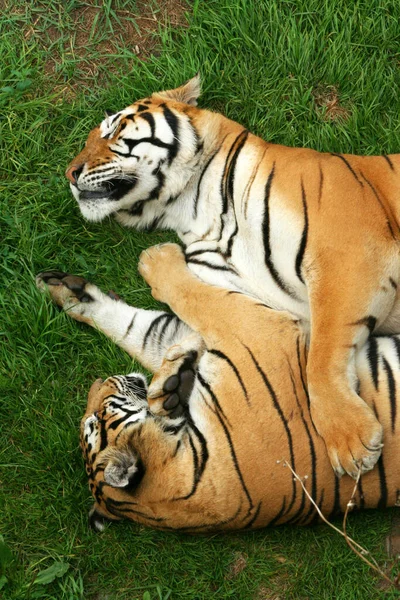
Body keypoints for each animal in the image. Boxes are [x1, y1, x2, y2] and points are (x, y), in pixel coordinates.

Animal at [36, 245, 400, 536]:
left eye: (93, 419)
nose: (98, 383)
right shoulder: (258, 334)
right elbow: (194, 304)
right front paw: (158, 258)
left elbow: (142, 332)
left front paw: (69, 294)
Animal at [63, 75, 400, 480]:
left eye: (112, 130)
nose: (69, 174)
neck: (190, 210)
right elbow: (200, 304)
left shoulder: (349, 246)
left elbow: (320, 357)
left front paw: (349, 438)